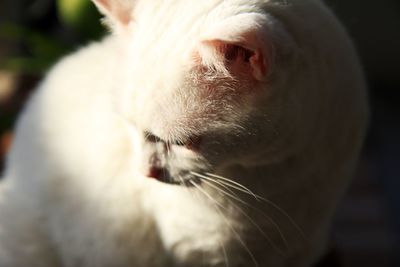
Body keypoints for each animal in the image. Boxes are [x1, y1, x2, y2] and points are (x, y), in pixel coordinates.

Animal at [0, 0, 368, 266]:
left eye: (180, 143)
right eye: (129, 126)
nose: (145, 173)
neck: (278, 177)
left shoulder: (300, 246)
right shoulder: (193, 249)